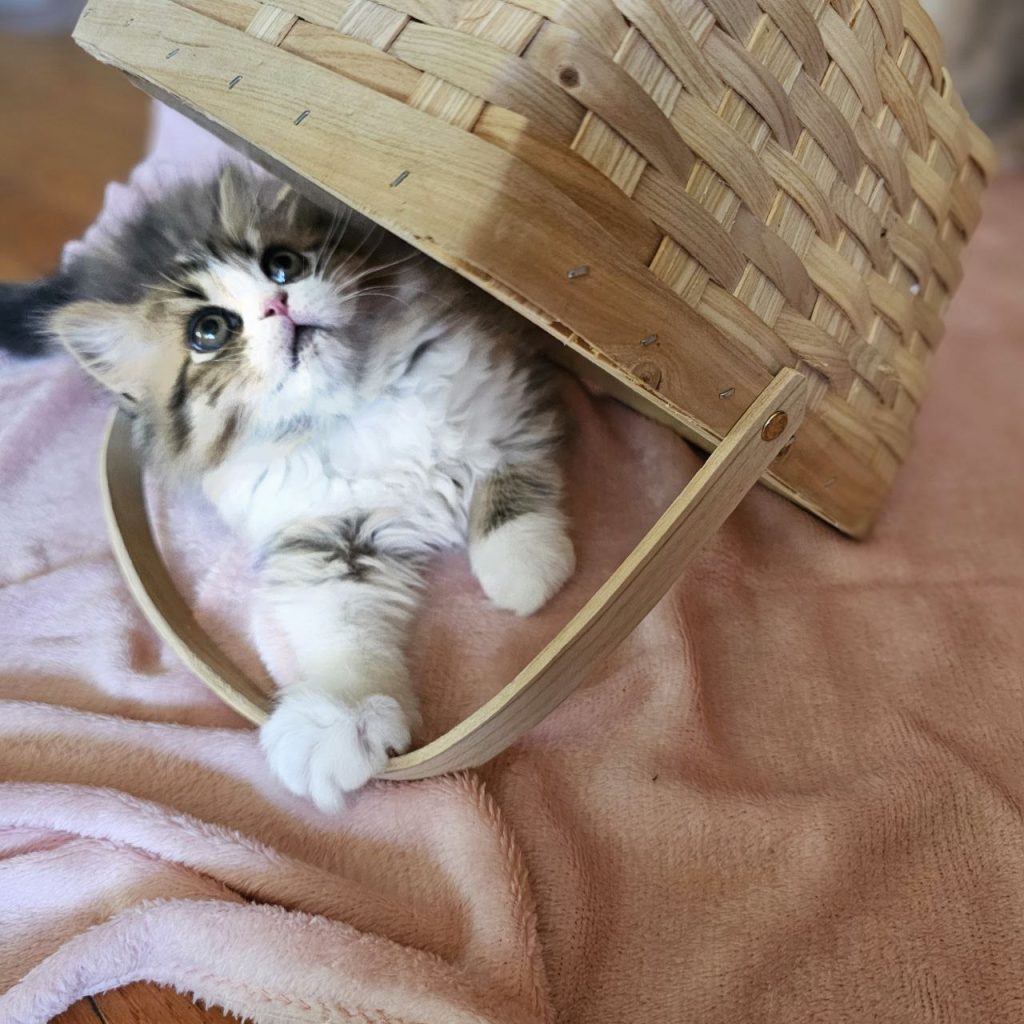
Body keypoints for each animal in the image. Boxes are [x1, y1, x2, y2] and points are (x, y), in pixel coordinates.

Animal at [24, 165, 577, 806]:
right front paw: (343, 716)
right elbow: (339, 629)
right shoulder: (325, 537)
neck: (351, 407)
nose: (277, 302)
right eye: (208, 330)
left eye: (282, 264)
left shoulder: (502, 397)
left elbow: (508, 479)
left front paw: (523, 566)